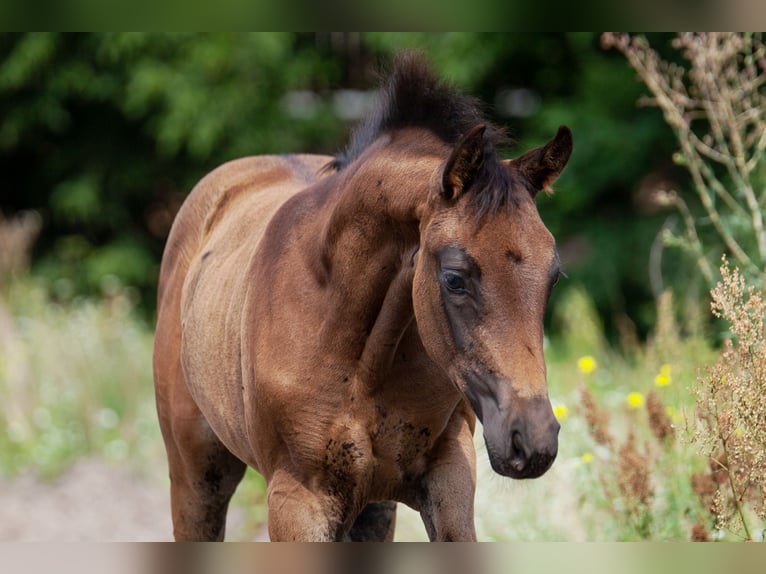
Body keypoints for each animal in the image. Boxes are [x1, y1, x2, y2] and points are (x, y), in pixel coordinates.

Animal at [153, 52, 572, 542]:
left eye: (553, 276)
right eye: (454, 279)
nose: (533, 439)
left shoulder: (449, 474)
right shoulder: (297, 502)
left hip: (371, 509)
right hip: (195, 475)